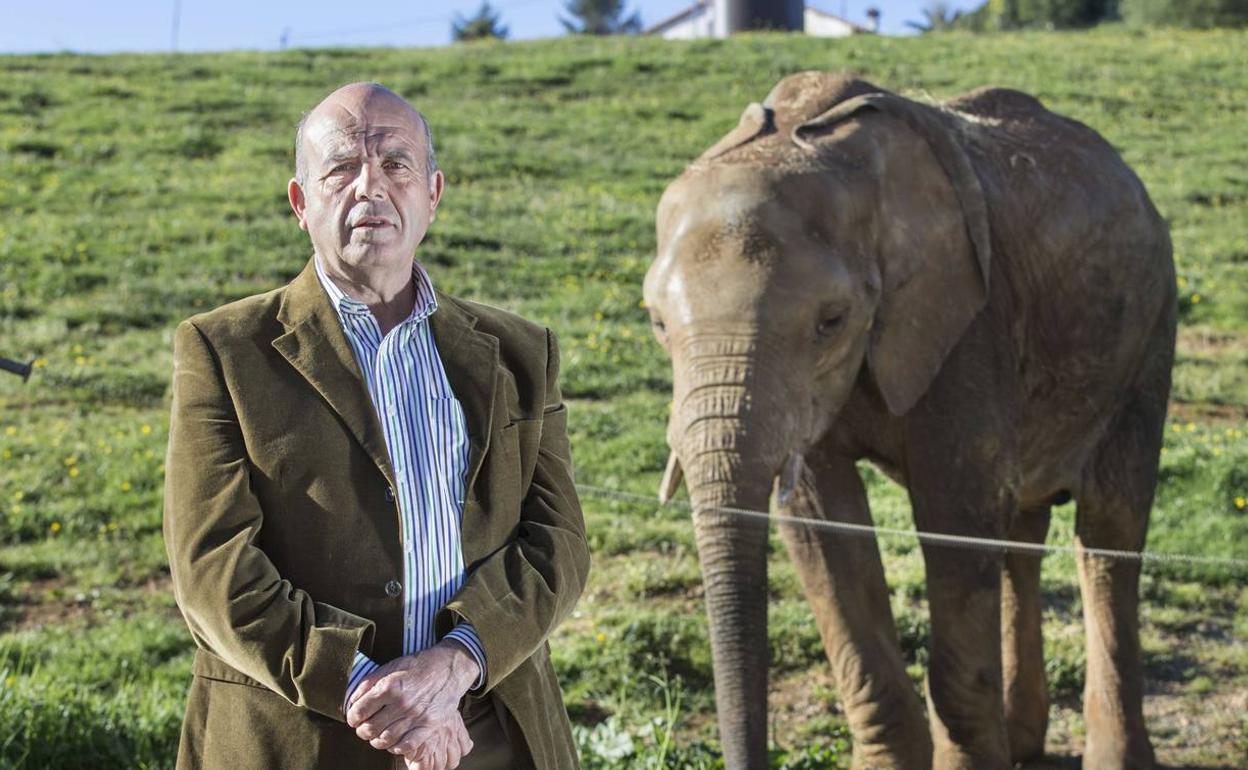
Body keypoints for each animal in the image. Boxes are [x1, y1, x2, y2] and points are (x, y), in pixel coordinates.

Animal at [643, 68, 1178, 763]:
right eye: (657, 323)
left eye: (831, 321)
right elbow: (821, 524)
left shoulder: (968, 318)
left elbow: (956, 513)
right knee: (1022, 532)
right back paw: (1023, 740)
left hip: (1148, 333)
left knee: (1109, 534)